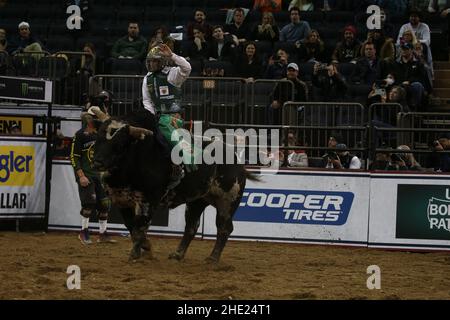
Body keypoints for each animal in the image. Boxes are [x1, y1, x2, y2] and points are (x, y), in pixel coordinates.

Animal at [90, 108, 260, 262]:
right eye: (99, 137)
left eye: (120, 143)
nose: (97, 162)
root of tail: (238, 162)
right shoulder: (121, 200)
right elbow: (131, 226)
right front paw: (144, 248)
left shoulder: (149, 200)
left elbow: (140, 226)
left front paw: (137, 253)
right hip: (197, 201)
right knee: (191, 226)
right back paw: (178, 254)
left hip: (227, 200)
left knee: (224, 227)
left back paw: (213, 257)